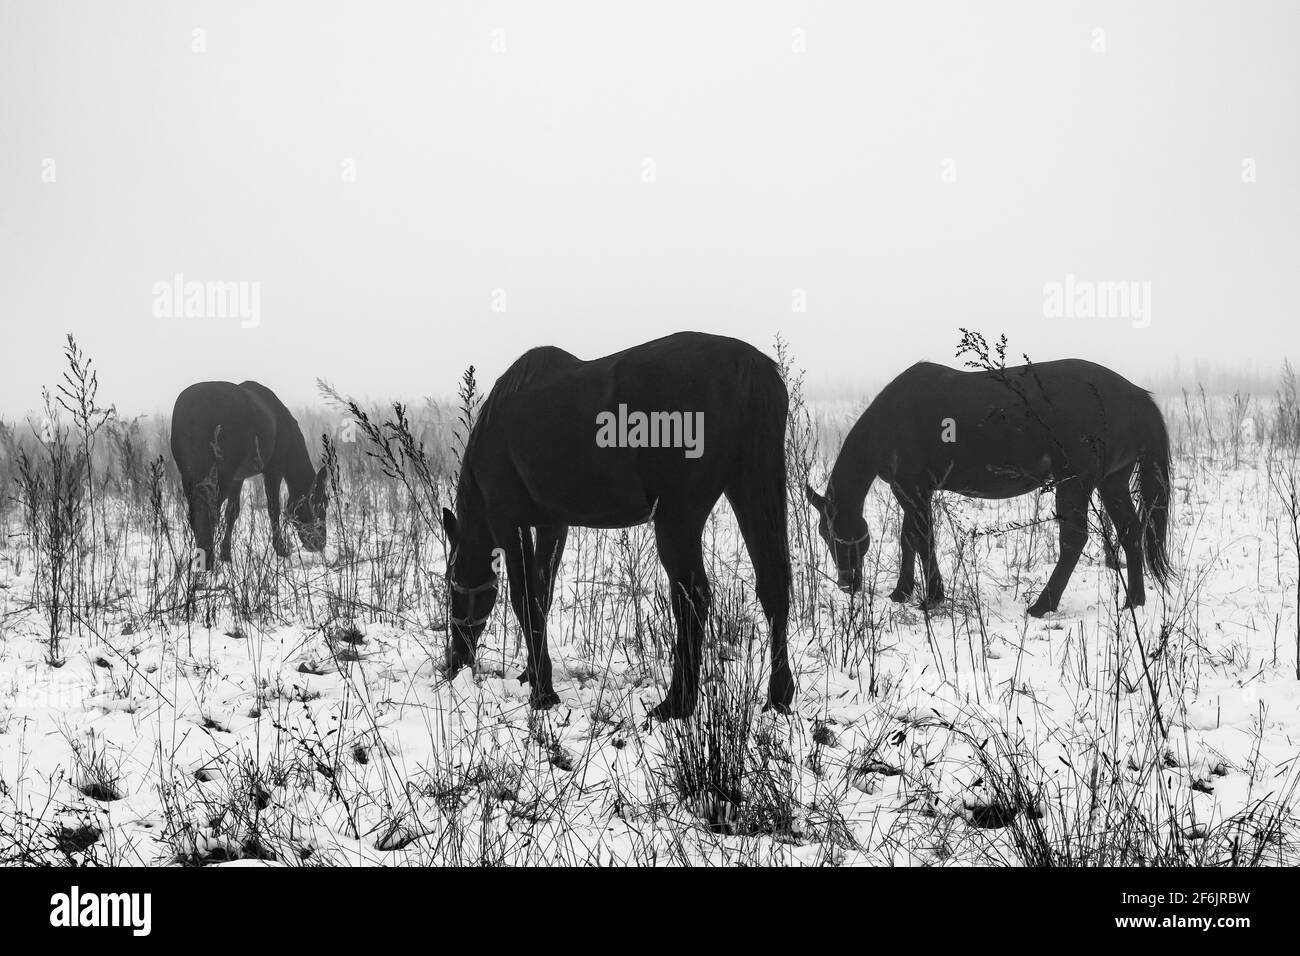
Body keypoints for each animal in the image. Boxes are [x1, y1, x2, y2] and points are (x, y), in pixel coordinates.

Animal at [171, 382, 330, 572]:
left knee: (195, 514)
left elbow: (232, 512)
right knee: (209, 513)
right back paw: (208, 560)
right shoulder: (273, 469)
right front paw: (281, 548)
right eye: (323, 503)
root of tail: (194, 409)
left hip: (189, 476)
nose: (319, 543)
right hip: (222, 474)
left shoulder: (237, 477)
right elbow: (273, 508)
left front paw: (226, 554)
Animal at [441, 330, 795, 717]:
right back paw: (778, 695)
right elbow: (541, 596)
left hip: (679, 518)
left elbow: (524, 599)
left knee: (693, 598)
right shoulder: (553, 525)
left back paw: (677, 703)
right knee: (773, 584)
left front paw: (543, 691)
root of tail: (748, 366)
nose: (454, 659)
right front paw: (531, 674)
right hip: (750, 489)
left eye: (450, 582)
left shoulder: (509, 521)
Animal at [806, 361, 1175, 621]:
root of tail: (1135, 396)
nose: (847, 584)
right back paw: (1134, 601)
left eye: (832, 533)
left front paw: (931, 597)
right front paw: (902, 592)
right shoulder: (912, 491)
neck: (890, 420)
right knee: (1131, 532)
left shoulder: (912, 489)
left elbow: (921, 539)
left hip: (1075, 483)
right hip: (1112, 482)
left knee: (1074, 540)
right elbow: (908, 538)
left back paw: (1042, 605)